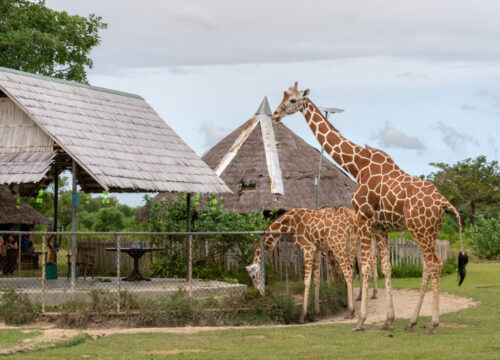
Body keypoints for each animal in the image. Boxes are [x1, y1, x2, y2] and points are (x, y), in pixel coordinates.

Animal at [272, 83, 466, 334]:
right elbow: (385, 268)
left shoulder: (364, 219)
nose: (275, 115)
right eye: (284, 97)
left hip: (419, 230)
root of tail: (444, 202)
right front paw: (389, 320)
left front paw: (360, 320)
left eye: (293, 100)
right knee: (427, 267)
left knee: (435, 264)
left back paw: (432, 323)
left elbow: (363, 268)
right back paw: (412, 321)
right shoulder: (380, 227)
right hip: (429, 232)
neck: (357, 166)